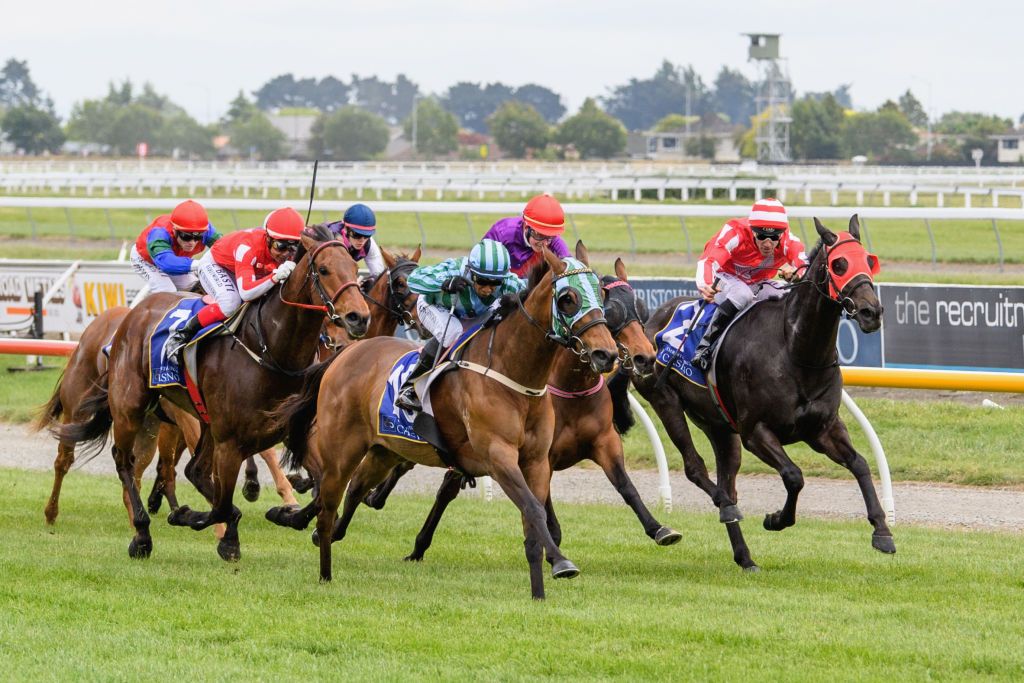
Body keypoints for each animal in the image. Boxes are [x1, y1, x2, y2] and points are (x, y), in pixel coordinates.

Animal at [56, 224, 368, 561]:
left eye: (355, 269)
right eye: (323, 270)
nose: (359, 317)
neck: (270, 350)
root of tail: (133, 314)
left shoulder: (291, 430)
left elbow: (322, 490)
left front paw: (286, 515)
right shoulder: (230, 441)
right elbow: (220, 506)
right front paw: (193, 519)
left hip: (201, 420)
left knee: (193, 470)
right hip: (130, 406)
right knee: (125, 461)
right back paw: (141, 534)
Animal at [266, 248, 614, 602]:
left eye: (601, 294)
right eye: (568, 298)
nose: (606, 353)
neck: (514, 374)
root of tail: (347, 352)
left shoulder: (536, 460)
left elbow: (534, 517)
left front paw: (540, 589)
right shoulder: (498, 456)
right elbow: (533, 508)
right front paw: (561, 562)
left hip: (383, 450)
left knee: (355, 489)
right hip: (342, 447)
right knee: (332, 496)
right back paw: (318, 550)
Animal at [358, 245, 679, 561]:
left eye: (639, 307)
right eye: (570, 300)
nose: (644, 357)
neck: (571, 389)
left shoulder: (604, 441)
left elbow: (626, 486)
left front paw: (660, 528)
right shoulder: (539, 456)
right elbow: (546, 512)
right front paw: (552, 550)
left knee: (440, 481)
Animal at [606, 218, 888, 573]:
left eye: (868, 260)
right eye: (839, 264)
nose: (871, 312)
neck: (795, 350)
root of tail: (644, 328)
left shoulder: (823, 428)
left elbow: (860, 464)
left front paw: (882, 531)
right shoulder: (756, 432)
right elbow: (794, 476)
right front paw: (776, 519)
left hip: (718, 426)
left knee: (728, 482)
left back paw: (744, 555)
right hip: (666, 401)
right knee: (696, 469)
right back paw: (726, 508)